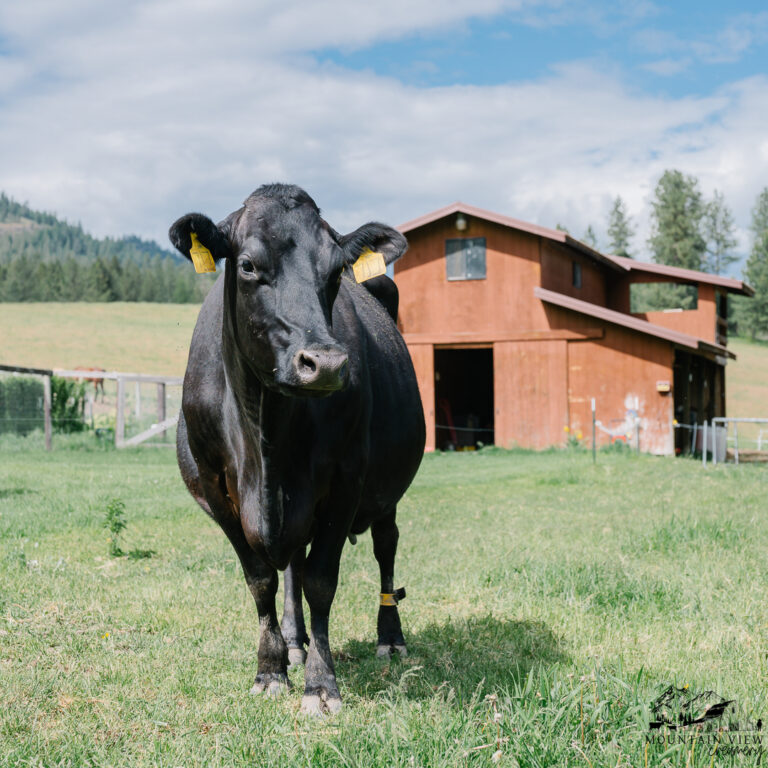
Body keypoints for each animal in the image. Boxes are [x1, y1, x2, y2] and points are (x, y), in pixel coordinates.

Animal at [167, 186, 426, 712]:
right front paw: (270, 668)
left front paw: (321, 684)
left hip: (385, 492)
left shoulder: (346, 480)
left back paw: (390, 636)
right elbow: (262, 579)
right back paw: (293, 640)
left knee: (385, 547)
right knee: (290, 567)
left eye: (335, 271)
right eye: (247, 265)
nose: (324, 363)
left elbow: (321, 581)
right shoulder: (215, 485)